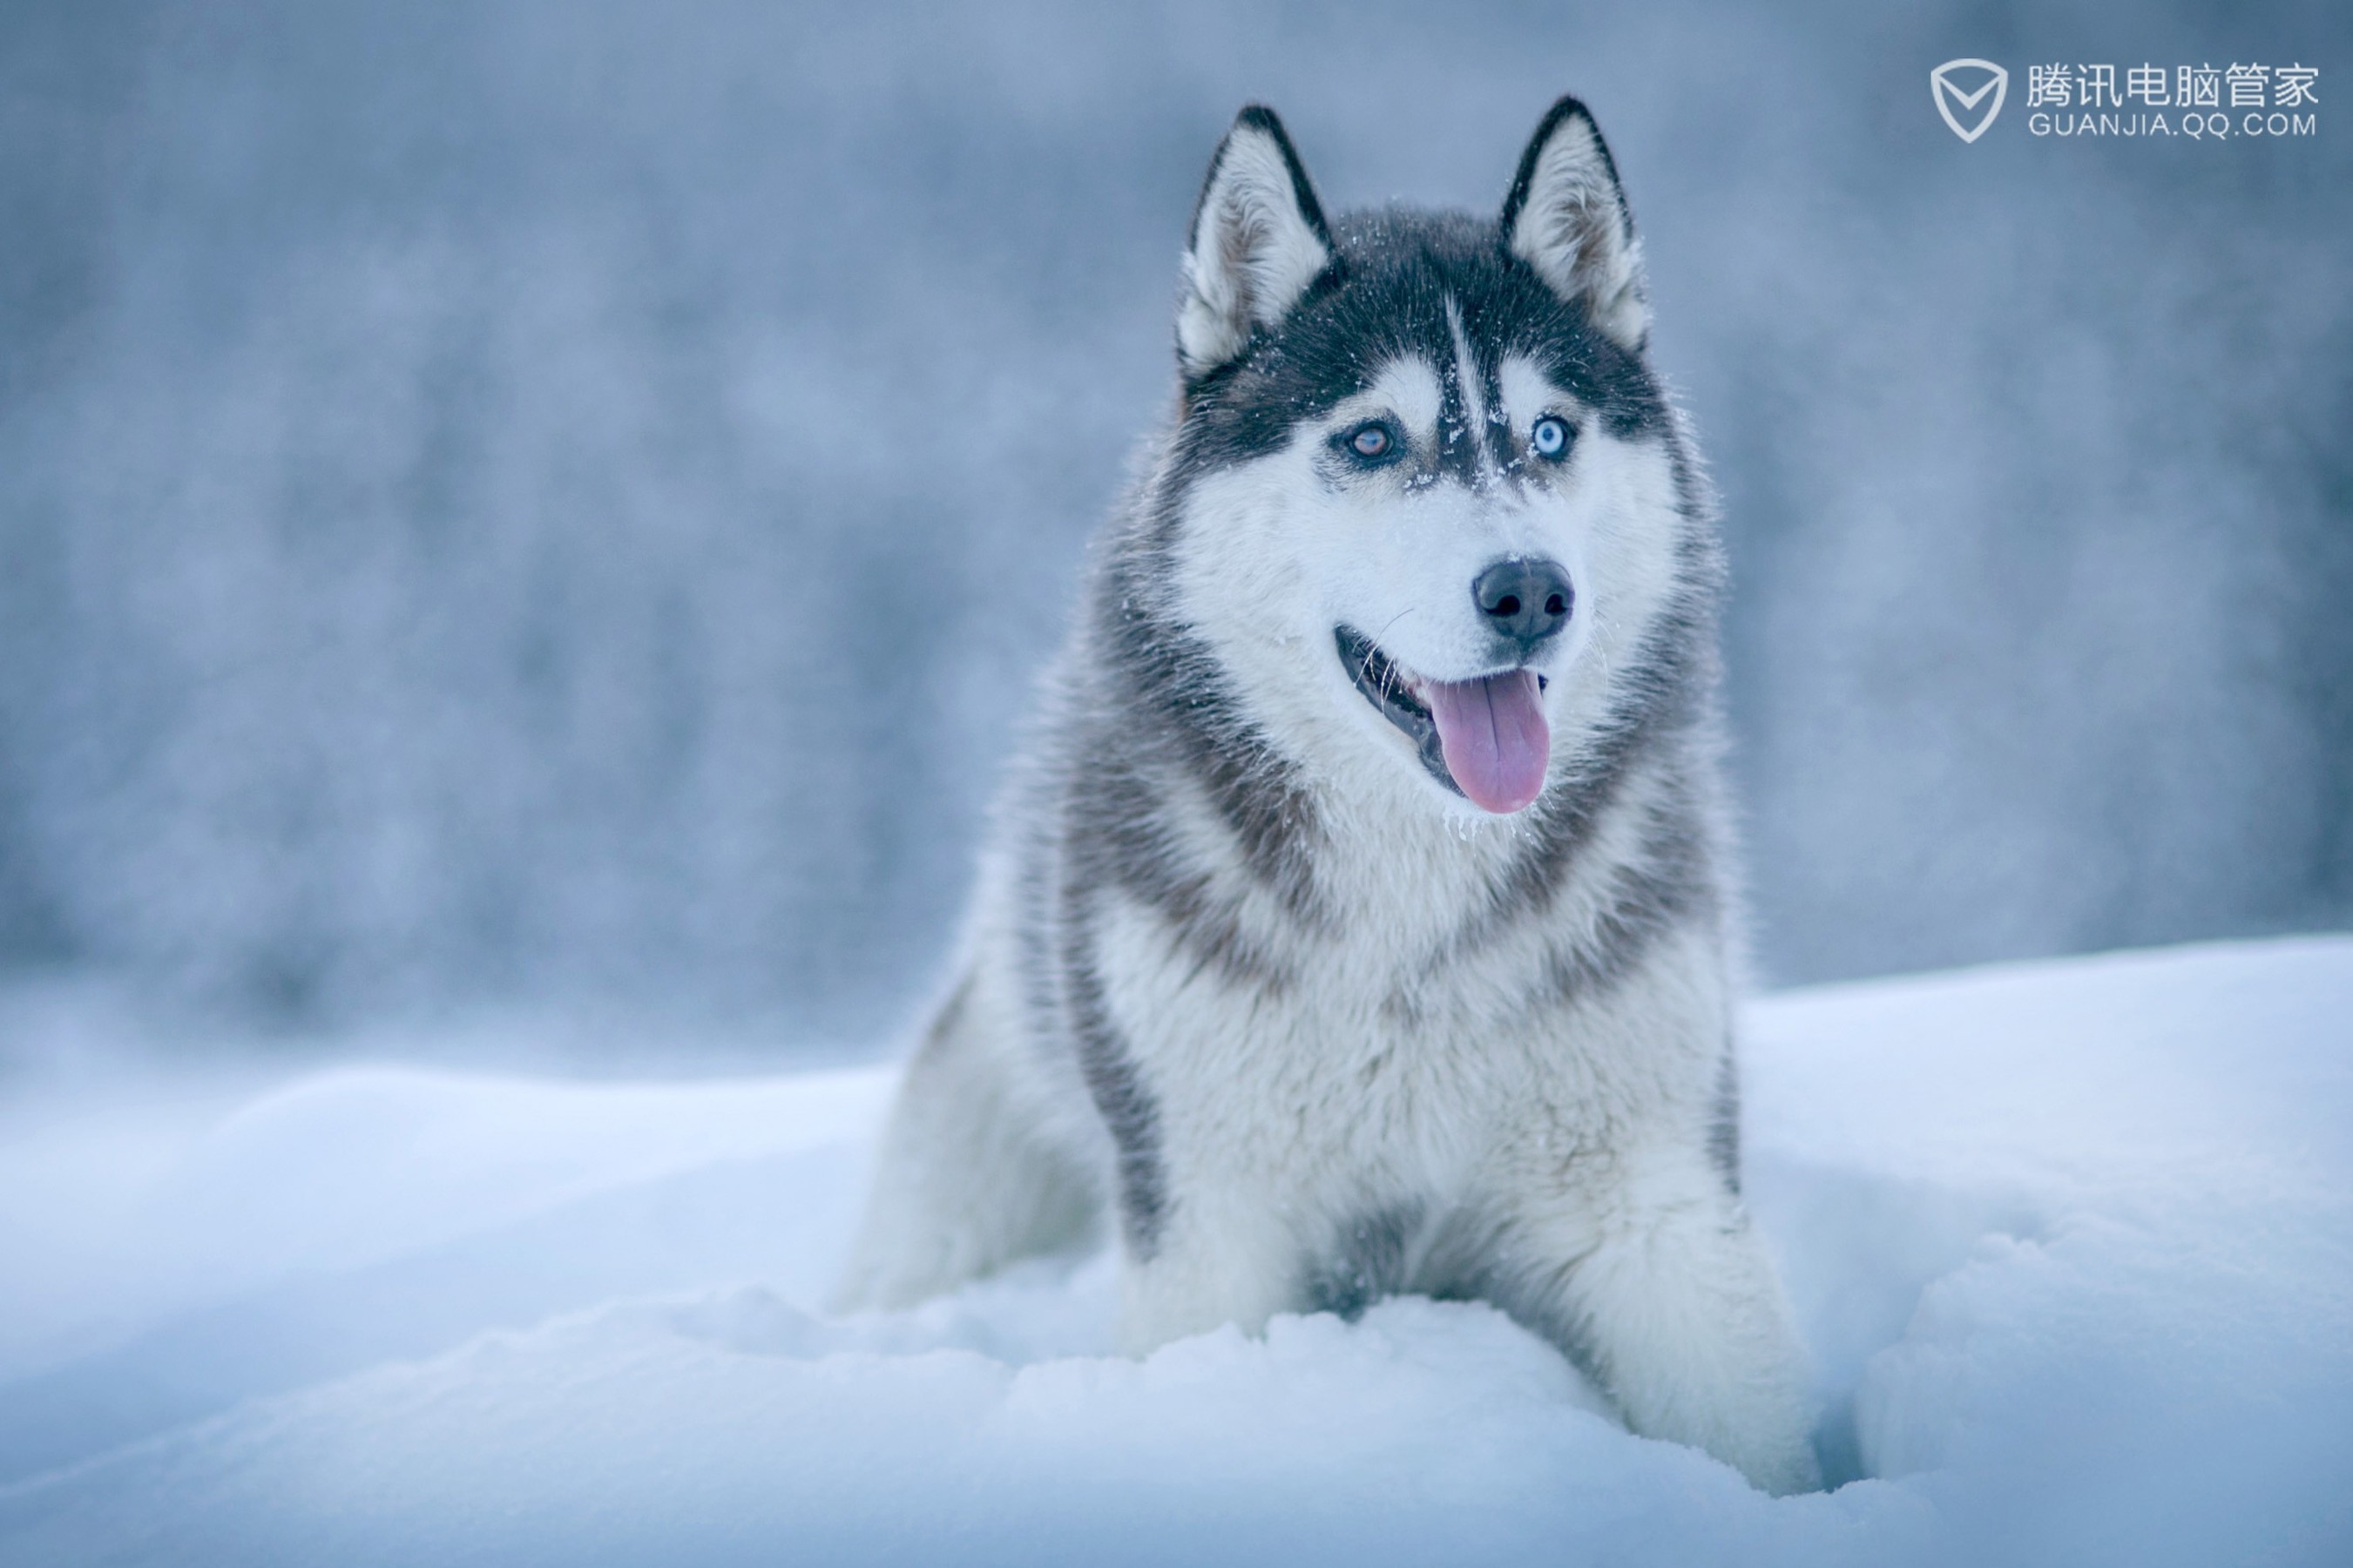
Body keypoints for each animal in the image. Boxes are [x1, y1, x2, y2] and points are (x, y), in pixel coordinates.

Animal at [842, 98, 1816, 1488]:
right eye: (1370, 439)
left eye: (1550, 434)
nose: (1530, 590)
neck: (1411, 922)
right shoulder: (1212, 1221)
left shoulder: (1657, 1198)